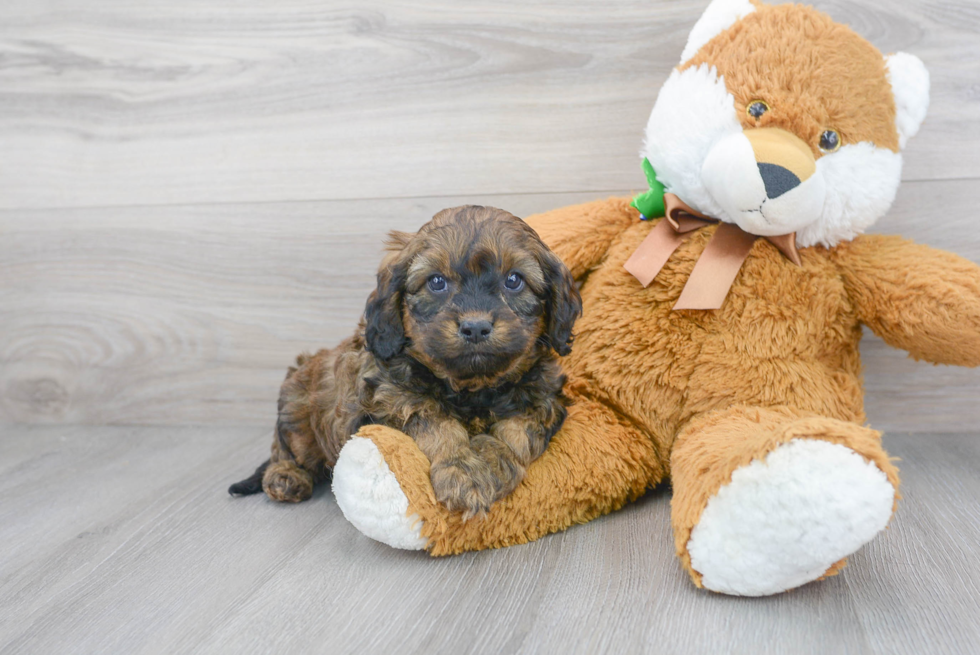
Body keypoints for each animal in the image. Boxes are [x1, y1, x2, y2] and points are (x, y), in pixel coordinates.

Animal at [230, 205, 580, 516]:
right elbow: (436, 424)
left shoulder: (544, 399)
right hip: (297, 412)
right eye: (436, 282)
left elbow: (517, 430)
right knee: (284, 449)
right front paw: (463, 469)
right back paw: (285, 476)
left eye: (514, 280)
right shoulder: (391, 400)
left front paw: (492, 460)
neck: (472, 388)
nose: (476, 327)